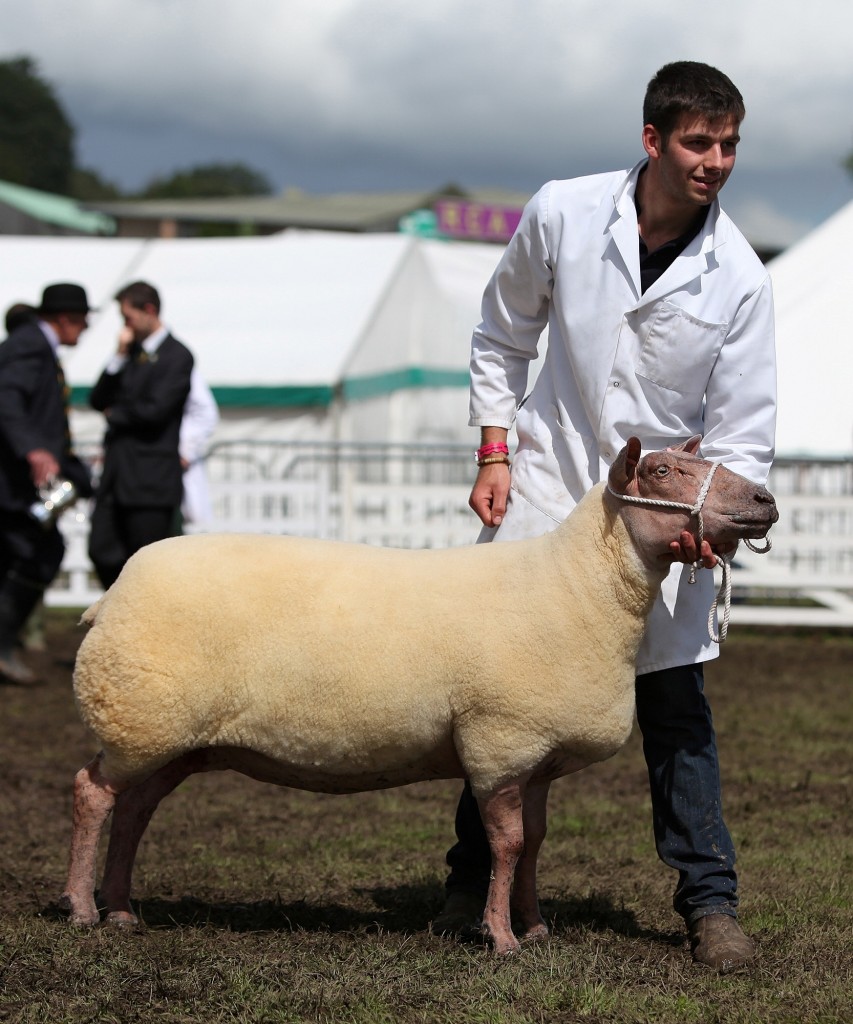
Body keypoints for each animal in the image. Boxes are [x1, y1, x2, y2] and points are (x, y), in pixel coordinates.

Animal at [59, 434, 778, 950]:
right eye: (661, 472)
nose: (765, 500)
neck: (578, 585)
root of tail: (112, 593)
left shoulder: (537, 756)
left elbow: (534, 843)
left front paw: (536, 926)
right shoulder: (499, 740)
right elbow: (506, 845)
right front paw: (501, 938)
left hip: (173, 735)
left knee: (134, 809)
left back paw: (121, 910)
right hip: (138, 714)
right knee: (93, 794)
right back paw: (82, 909)